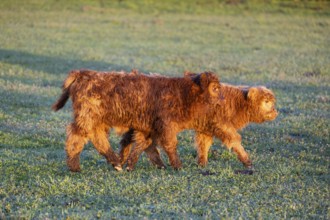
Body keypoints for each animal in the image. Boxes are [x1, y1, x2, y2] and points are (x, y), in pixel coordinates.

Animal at [51, 69, 222, 171]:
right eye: (215, 88)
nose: (222, 100)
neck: (182, 94)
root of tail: (83, 73)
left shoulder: (147, 128)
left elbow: (143, 145)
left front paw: (132, 164)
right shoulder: (165, 126)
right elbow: (169, 145)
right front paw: (177, 166)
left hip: (98, 121)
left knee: (98, 139)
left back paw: (116, 163)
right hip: (86, 118)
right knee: (76, 137)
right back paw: (75, 167)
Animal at [120, 81, 278, 169]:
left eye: (272, 101)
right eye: (266, 102)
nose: (275, 111)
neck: (235, 102)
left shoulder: (205, 128)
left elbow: (203, 145)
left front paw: (202, 163)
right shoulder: (222, 125)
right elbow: (234, 141)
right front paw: (248, 162)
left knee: (140, 142)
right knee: (150, 143)